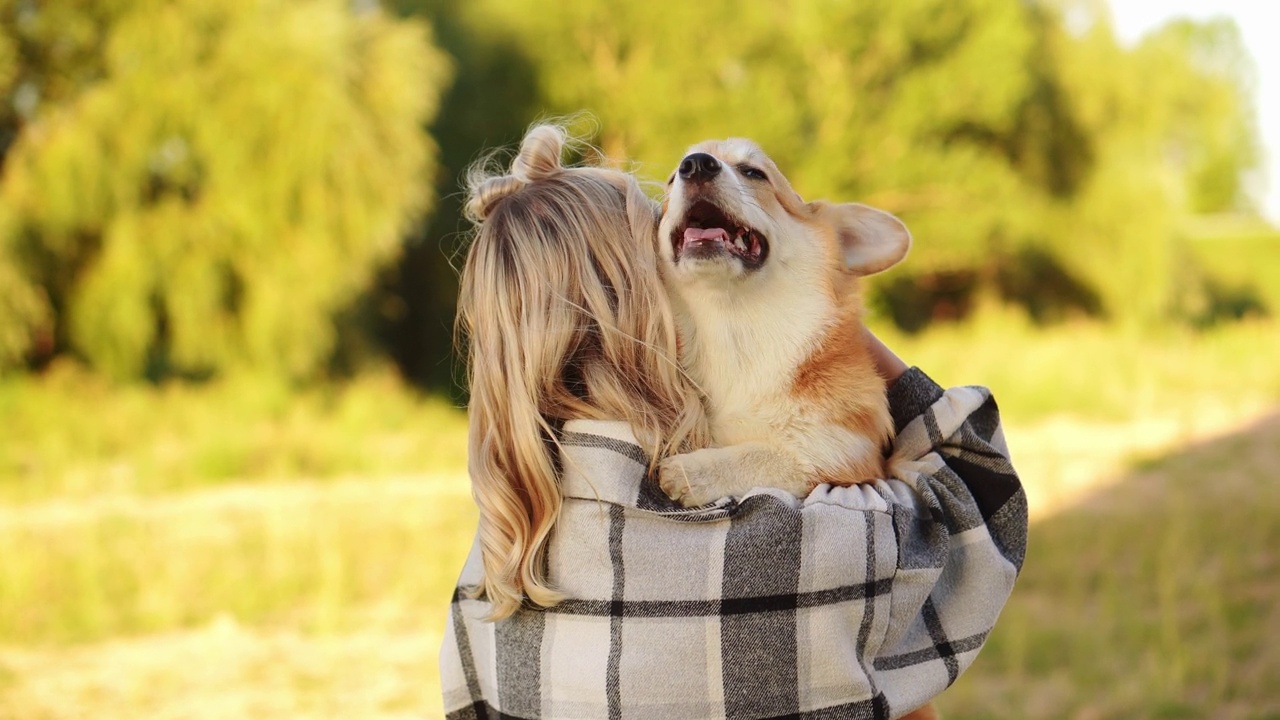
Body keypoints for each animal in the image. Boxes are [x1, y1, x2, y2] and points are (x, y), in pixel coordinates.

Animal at [655, 140, 916, 507]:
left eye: (753, 172)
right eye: (670, 181)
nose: (695, 165)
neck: (734, 325)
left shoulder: (845, 455)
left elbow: (771, 456)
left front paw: (692, 471)